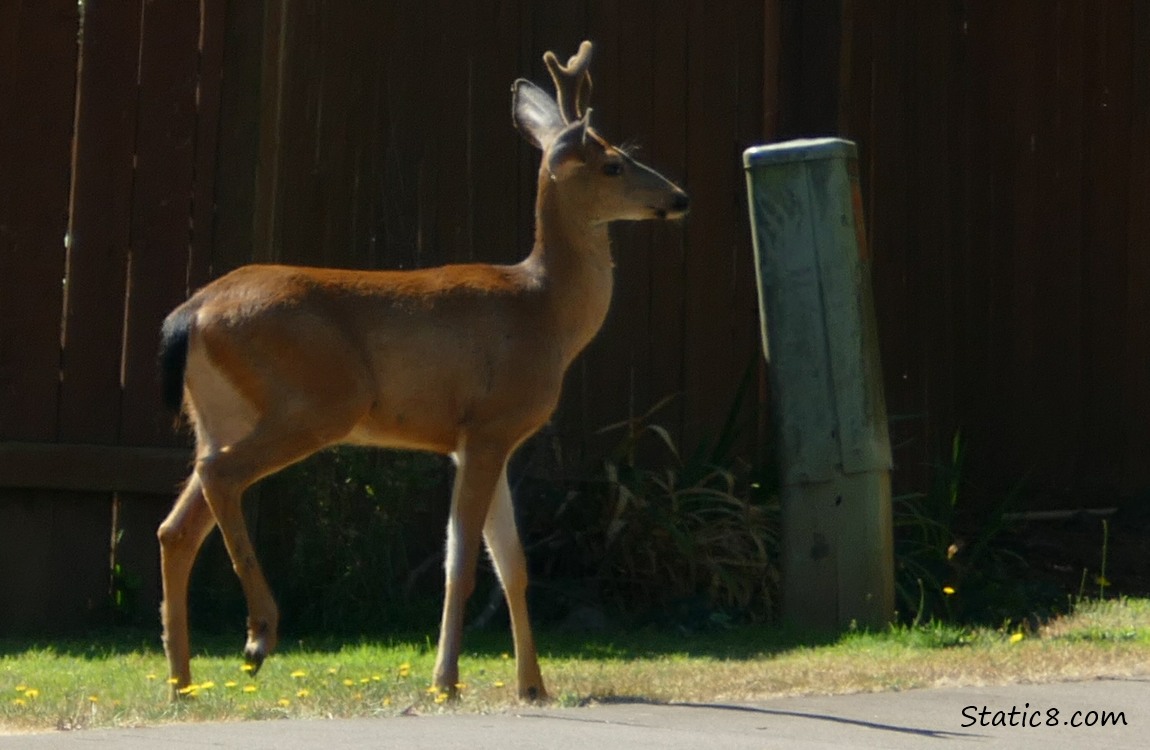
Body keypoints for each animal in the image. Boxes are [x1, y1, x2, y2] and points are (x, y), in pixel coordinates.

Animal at [156, 40, 688, 703]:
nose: (679, 197)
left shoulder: (484, 440)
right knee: (220, 477)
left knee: (176, 525)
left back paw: (181, 680)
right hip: (317, 401)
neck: (544, 311)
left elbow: (513, 566)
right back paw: (258, 635)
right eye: (614, 164)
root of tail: (190, 313)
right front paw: (448, 680)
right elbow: (462, 564)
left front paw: (532, 686)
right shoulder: (488, 425)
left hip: (218, 413)